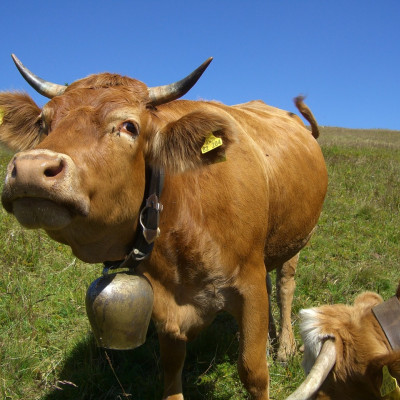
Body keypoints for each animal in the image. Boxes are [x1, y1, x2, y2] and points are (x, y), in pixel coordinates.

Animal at [0, 54, 326, 398]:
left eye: (129, 126)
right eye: (43, 123)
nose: (31, 169)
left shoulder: (248, 285)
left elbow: (252, 371)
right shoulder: (164, 303)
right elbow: (171, 368)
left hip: (296, 239)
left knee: (284, 285)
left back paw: (285, 346)